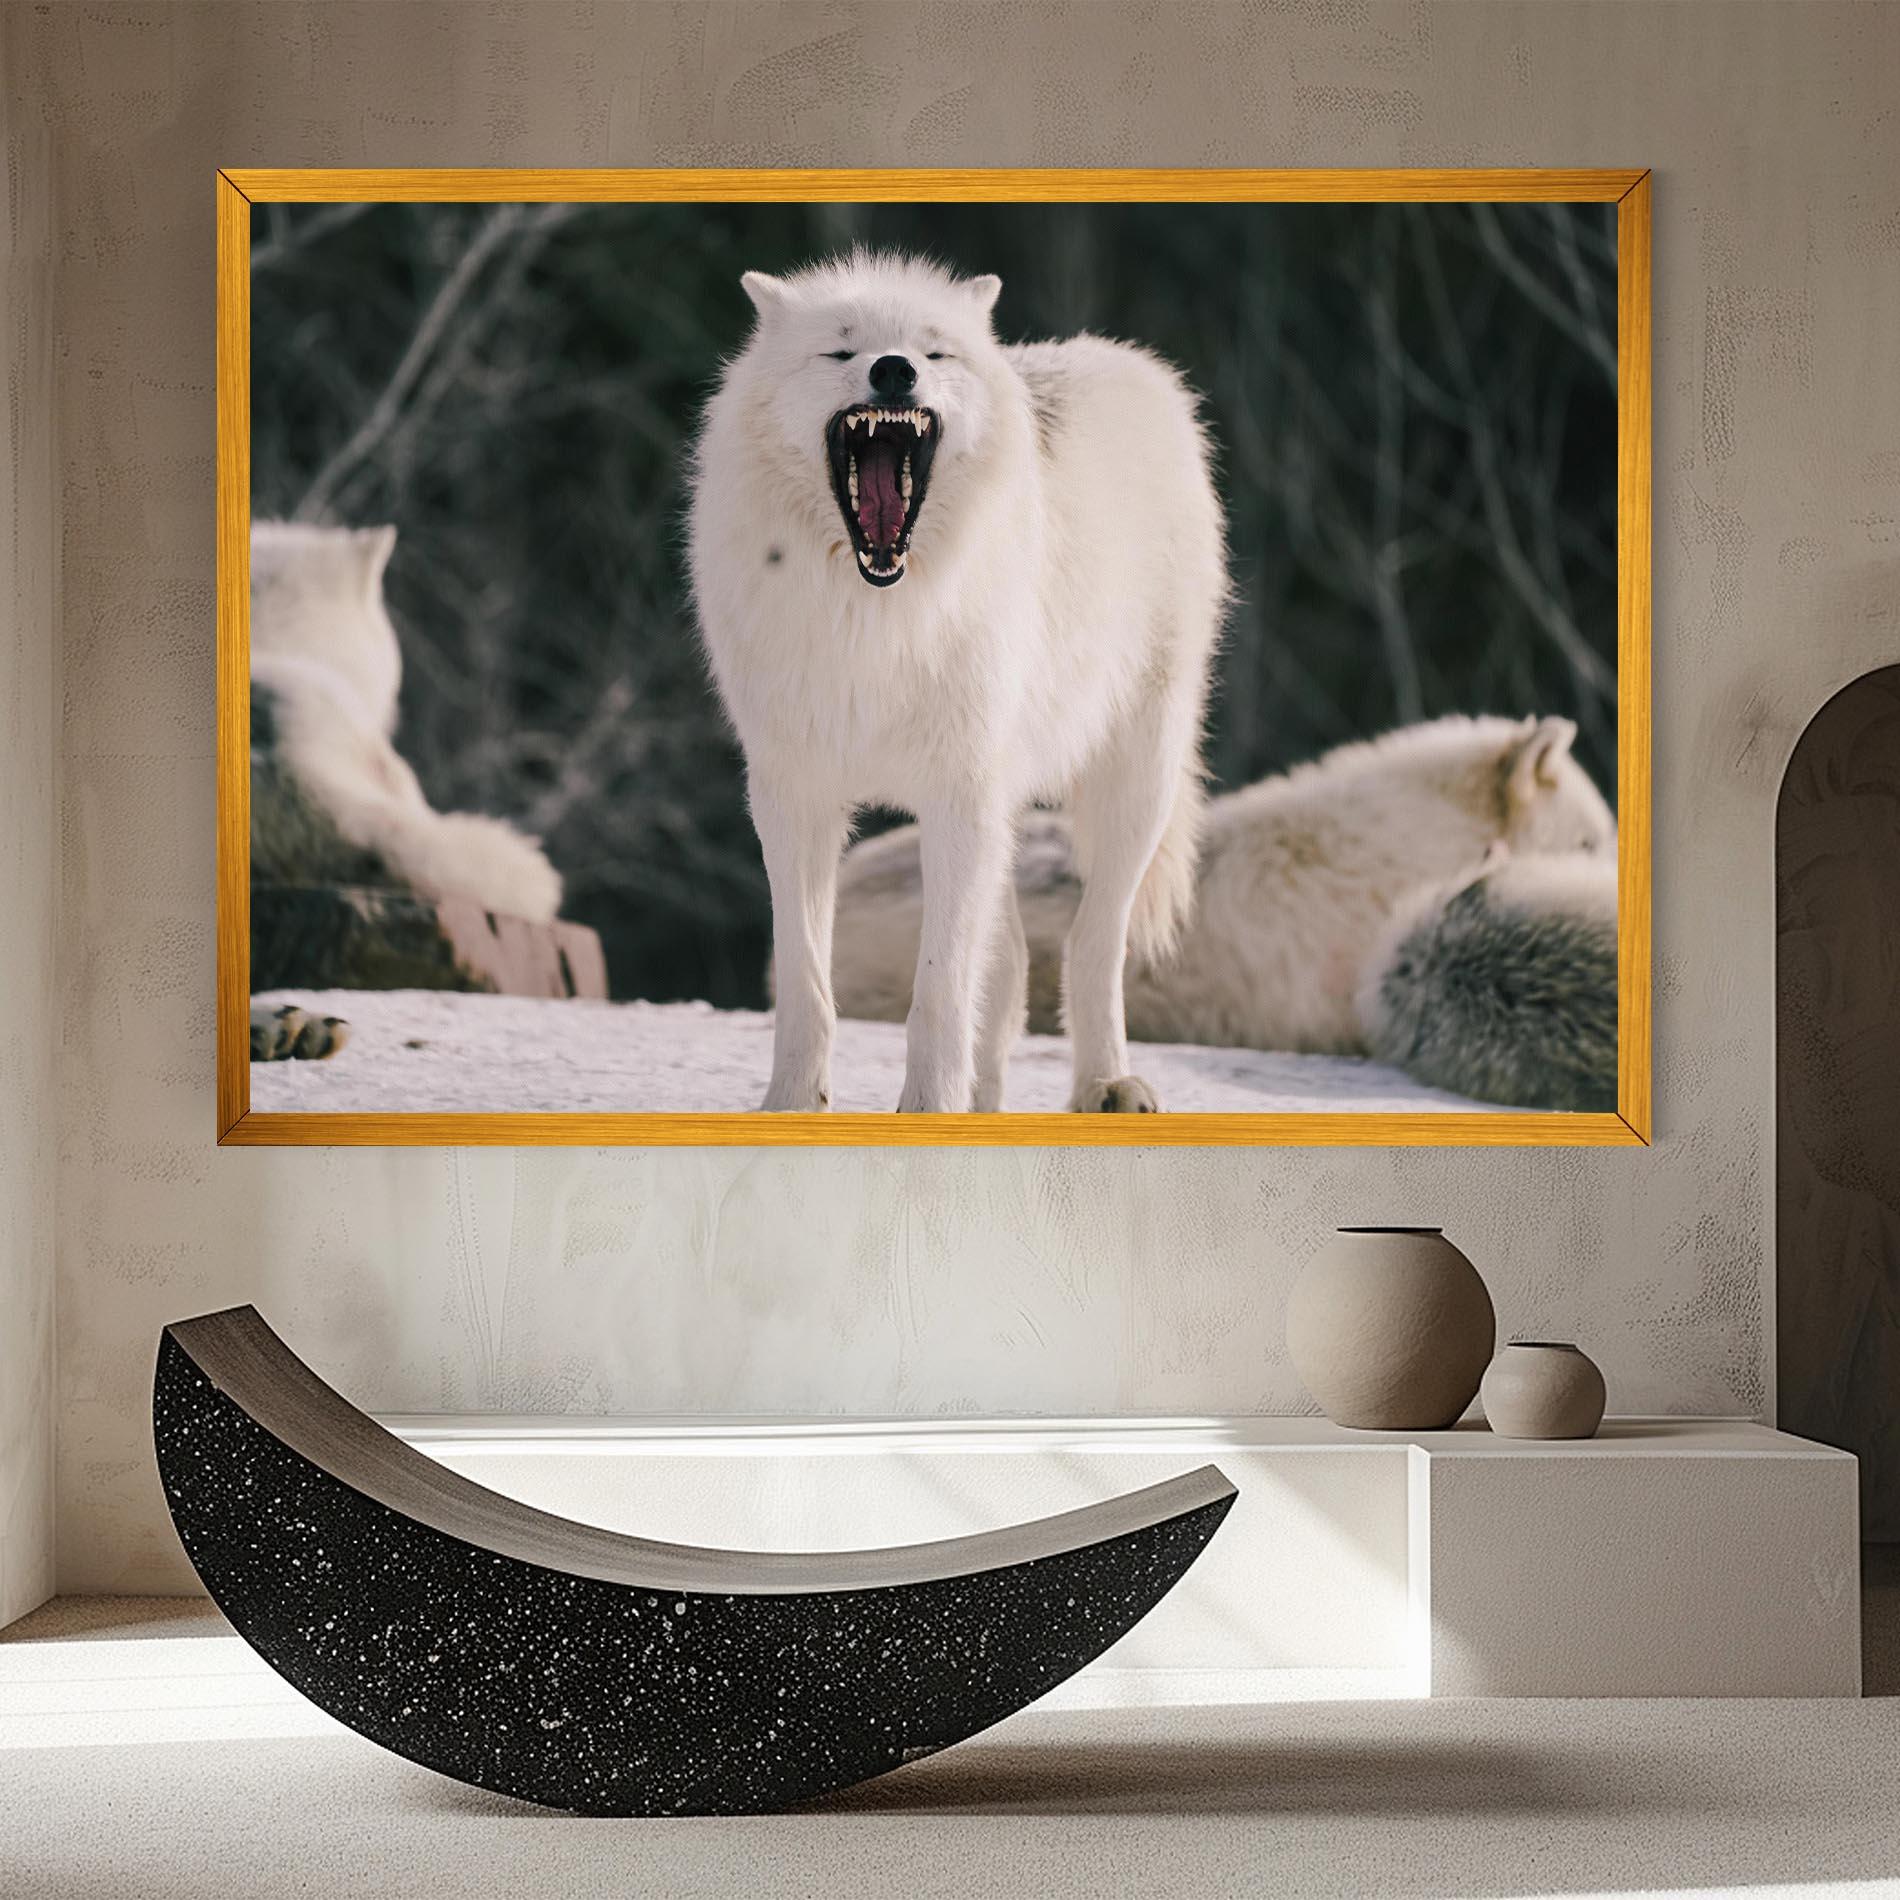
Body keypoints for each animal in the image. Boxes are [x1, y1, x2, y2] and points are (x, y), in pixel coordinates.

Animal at [689, 252, 1225, 1113]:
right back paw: (990, 1101)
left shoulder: (957, 795)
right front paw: (792, 1106)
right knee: (1008, 970)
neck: (876, 617)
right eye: (841, 350)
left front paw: (928, 1110)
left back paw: (1106, 1083)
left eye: (933, 352)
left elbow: (939, 988)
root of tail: (1130, 363)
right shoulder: (793, 796)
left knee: (1092, 941)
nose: (894, 370)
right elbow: (807, 980)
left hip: (1133, 782)